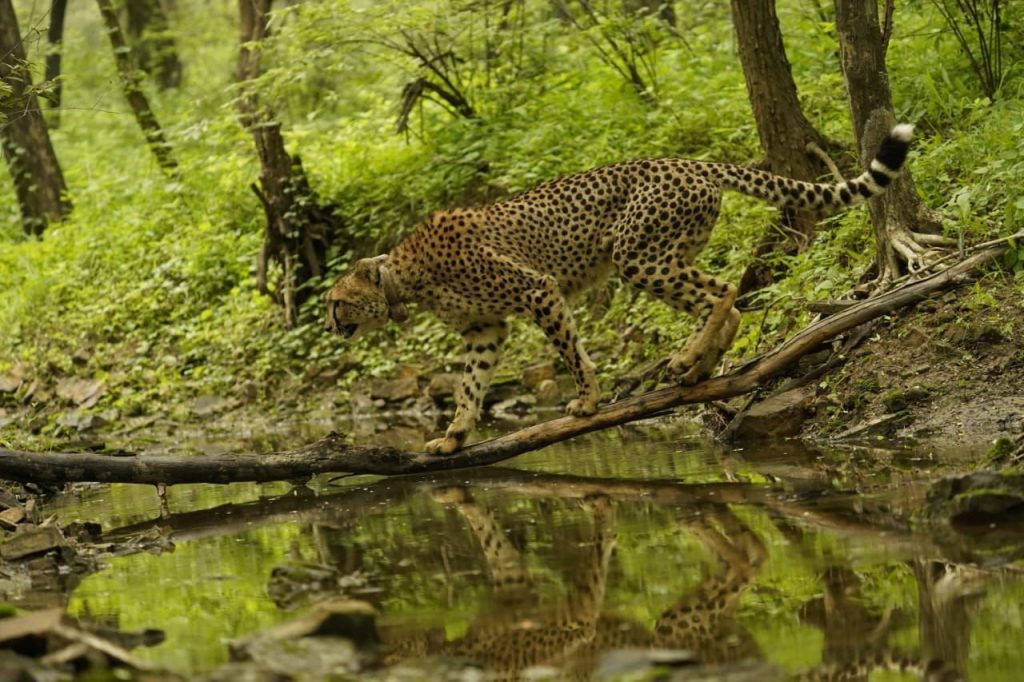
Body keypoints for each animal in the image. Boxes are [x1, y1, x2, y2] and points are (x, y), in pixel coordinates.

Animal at [326, 124, 915, 454]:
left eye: (336, 301)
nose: (331, 323)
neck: (403, 277)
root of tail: (688, 161)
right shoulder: (484, 329)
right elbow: (470, 386)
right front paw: (455, 435)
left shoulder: (538, 290)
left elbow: (571, 351)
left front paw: (587, 401)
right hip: (664, 252)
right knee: (726, 301)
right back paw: (698, 368)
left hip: (637, 256)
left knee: (723, 290)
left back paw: (686, 360)